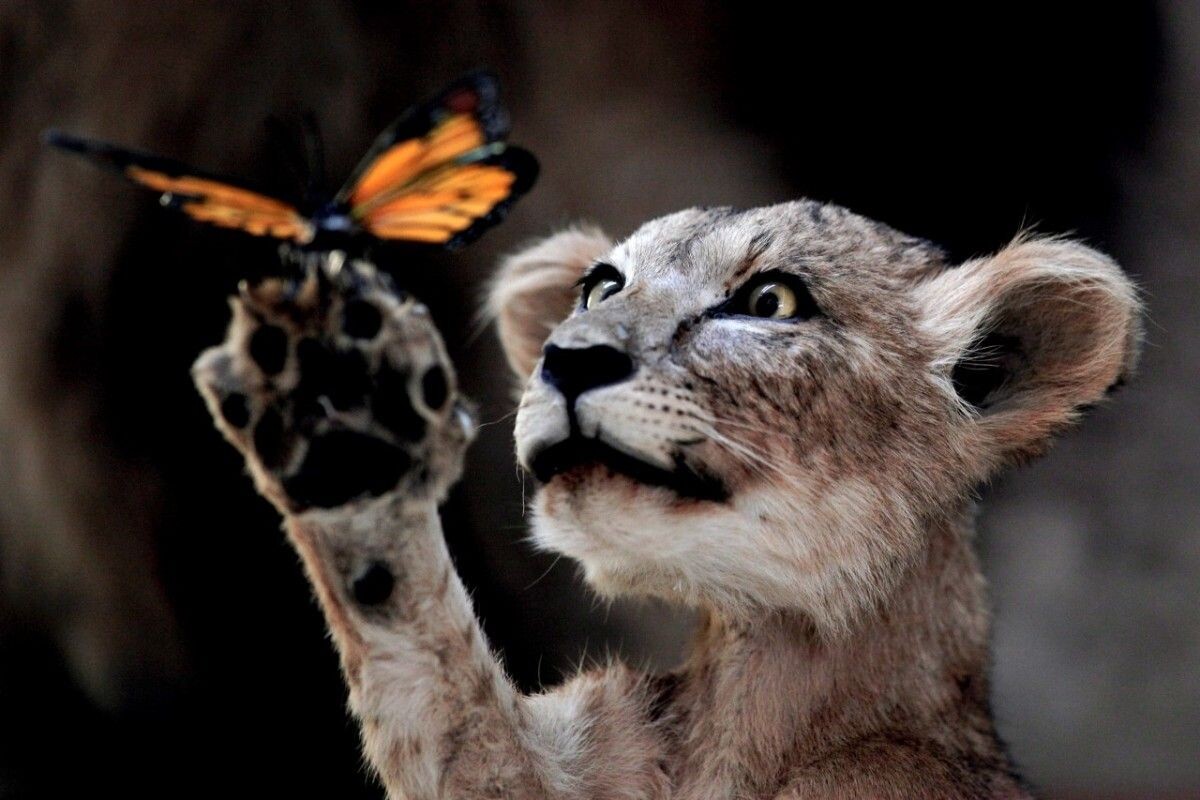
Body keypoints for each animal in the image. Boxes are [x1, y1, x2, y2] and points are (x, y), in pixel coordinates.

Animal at [192, 200, 1141, 799]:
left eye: (770, 299)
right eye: (600, 287)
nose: (568, 357)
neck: (761, 696)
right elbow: (433, 692)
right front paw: (338, 405)